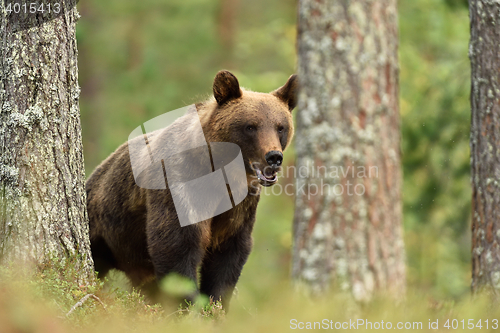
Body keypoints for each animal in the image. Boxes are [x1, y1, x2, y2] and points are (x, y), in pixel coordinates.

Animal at [85, 70, 296, 308]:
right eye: (251, 126)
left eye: (280, 126)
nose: (274, 157)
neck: (219, 175)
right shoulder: (179, 188)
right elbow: (176, 245)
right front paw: (188, 304)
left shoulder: (240, 206)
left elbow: (228, 255)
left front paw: (215, 304)